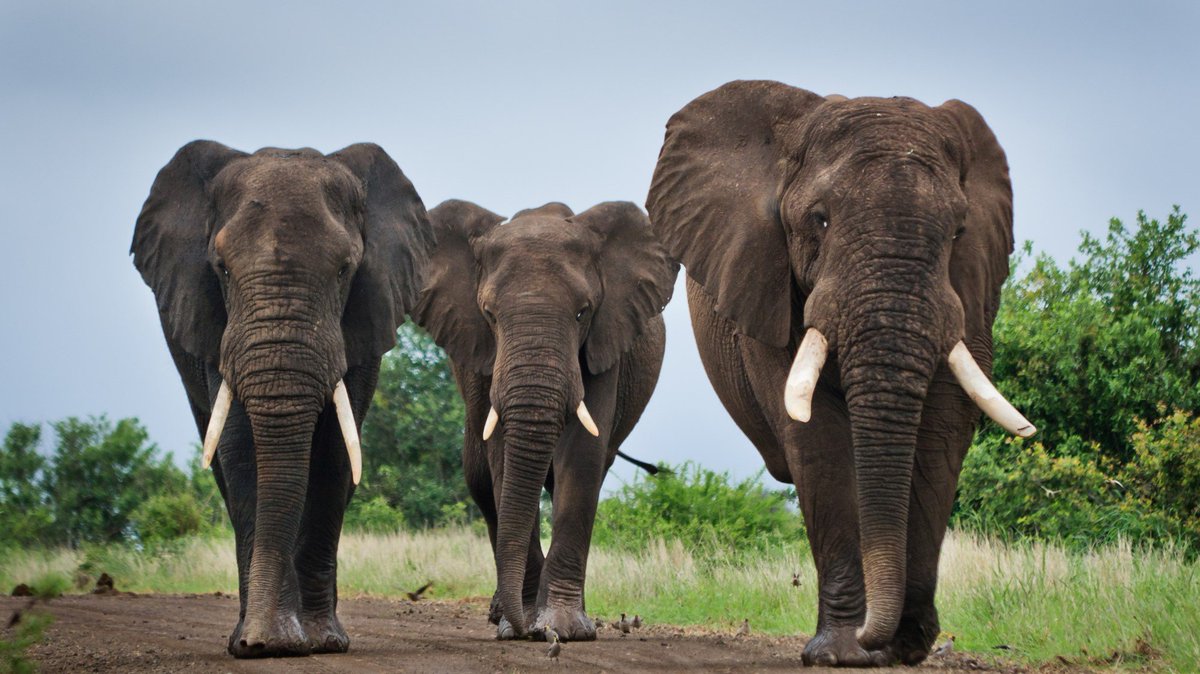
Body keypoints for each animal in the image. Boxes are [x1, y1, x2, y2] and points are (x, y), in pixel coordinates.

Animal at [131, 141, 433, 657]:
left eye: (345, 270)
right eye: (221, 268)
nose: (260, 641)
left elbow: (334, 452)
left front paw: (321, 641)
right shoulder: (215, 323)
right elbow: (241, 450)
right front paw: (263, 642)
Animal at [413, 199, 678, 641]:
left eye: (582, 312)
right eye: (489, 314)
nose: (526, 631)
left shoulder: (606, 341)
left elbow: (583, 457)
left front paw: (563, 628)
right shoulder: (482, 353)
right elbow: (501, 458)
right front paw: (518, 624)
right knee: (479, 480)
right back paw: (502, 614)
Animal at [645, 81, 1035, 666]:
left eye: (958, 231)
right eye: (820, 219)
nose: (885, 638)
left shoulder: (974, 291)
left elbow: (943, 428)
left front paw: (904, 646)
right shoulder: (768, 285)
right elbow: (819, 439)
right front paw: (843, 653)